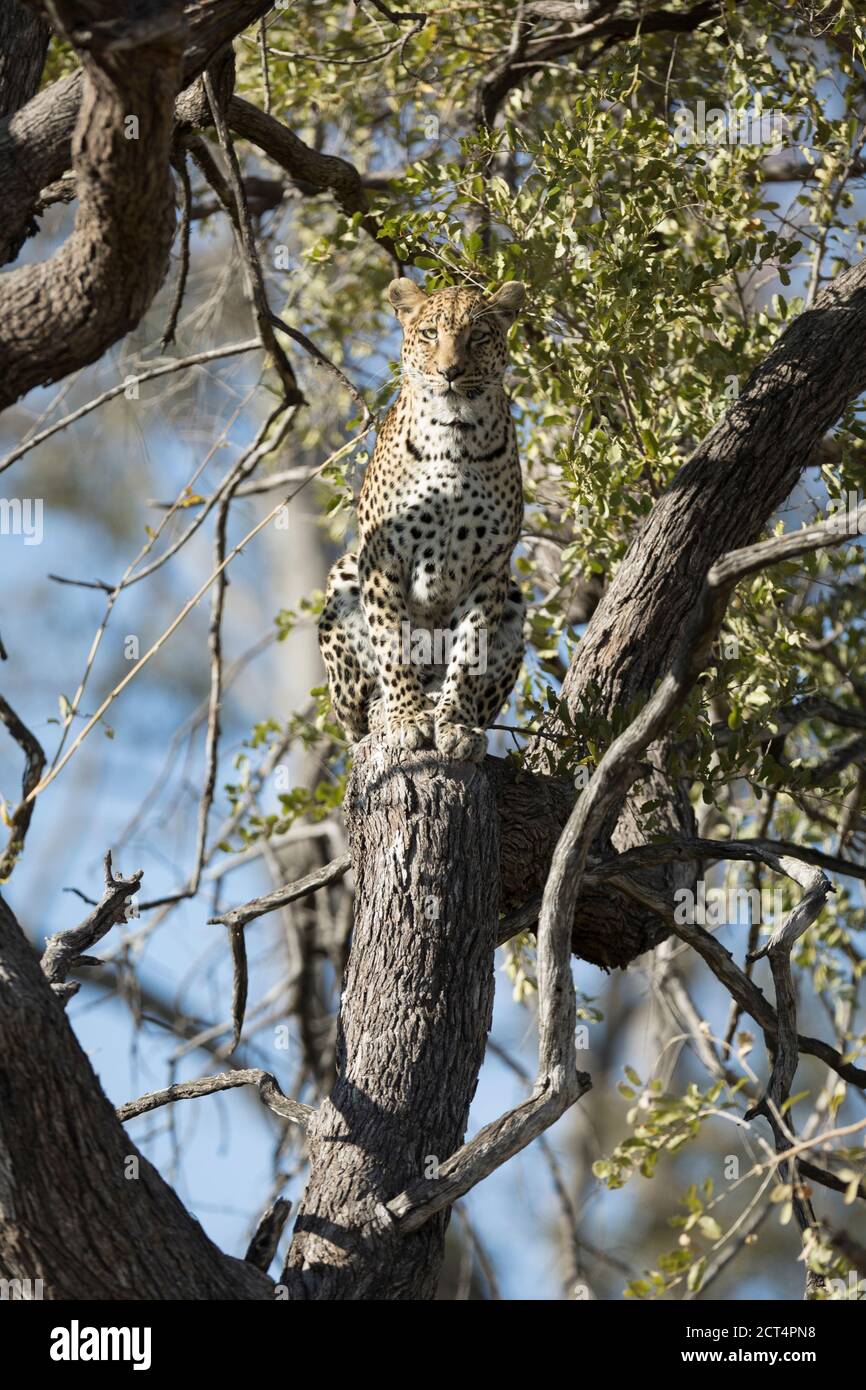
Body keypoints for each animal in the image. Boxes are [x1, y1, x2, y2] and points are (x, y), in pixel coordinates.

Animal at [315, 278, 525, 767]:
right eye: (430, 333)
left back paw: (436, 701)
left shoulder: (490, 567)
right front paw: (408, 719)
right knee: (358, 714)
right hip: (345, 575)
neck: (455, 434)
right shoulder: (383, 556)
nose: (450, 371)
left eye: (478, 336)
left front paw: (455, 725)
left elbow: (468, 652)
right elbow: (392, 639)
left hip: (515, 598)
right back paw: (391, 709)